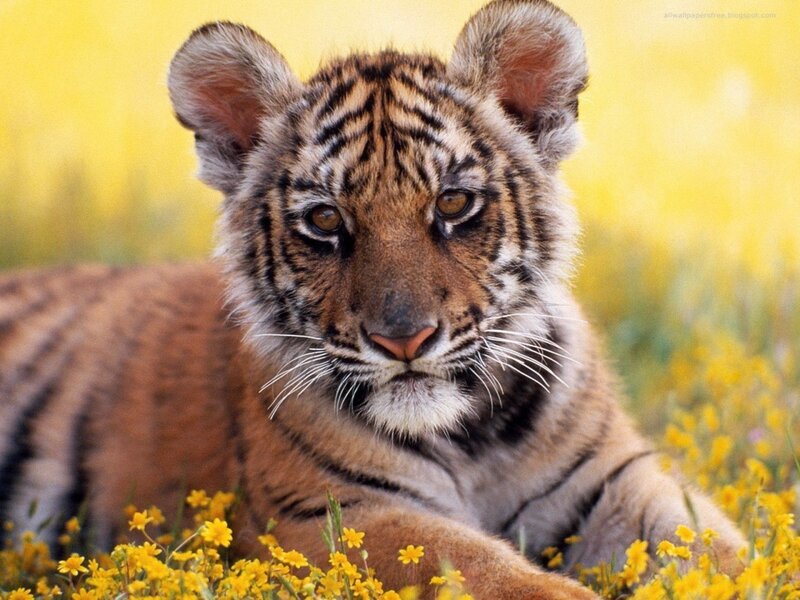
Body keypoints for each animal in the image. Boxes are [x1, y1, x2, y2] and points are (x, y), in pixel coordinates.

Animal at [0, 0, 745, 597]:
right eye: (326, 220)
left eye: (454, 203)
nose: (403, 339)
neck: (471, 437)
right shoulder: (334, 513)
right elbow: (484, 569)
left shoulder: (614, 478)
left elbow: (722, 549)